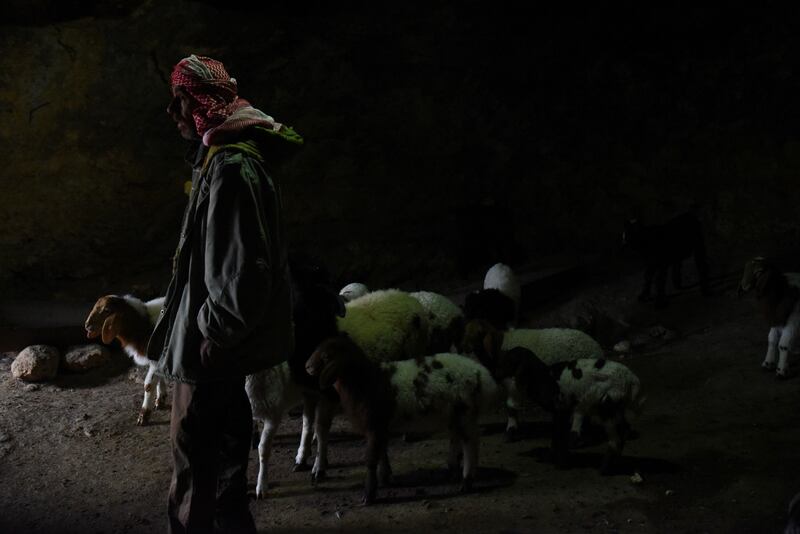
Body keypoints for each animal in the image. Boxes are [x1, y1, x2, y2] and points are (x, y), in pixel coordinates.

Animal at [84, 294, 166, 428]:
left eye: (107, 310)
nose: (87, 325)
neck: (143, 326)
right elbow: (160, 380)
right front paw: (160, 401)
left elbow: (148, 385)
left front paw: (143, 416)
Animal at [306, 338, 500, 504]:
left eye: (326, 356)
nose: (306, 366)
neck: (367, 382)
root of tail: (484, 375)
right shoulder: (380, 427)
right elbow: (382, 453)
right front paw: (385, 478)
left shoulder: (375, 425)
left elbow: (371, 459)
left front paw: (369, 494)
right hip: (454, 414)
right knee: (456, 438)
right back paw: (452, 471)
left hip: (466, 412)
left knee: (471, 444)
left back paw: (467, 481)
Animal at [460, 320, 604, 442]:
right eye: (465, 330)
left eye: (478, 332)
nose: (463, 348)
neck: (497, 350)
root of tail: (597, 349)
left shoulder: (514, 383)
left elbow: (510, 406)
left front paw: (511, 431)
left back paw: (576, 433)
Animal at [496, 348, 648, 478]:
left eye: (508, 360)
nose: (496, 375)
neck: (543, 377)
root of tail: (632, 382)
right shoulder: (561, 411)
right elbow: (556, 435)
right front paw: (553, 456)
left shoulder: (561, 408)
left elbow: (559, 436)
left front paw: (560, 463)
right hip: (617, 408)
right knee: (624, 430)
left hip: (607, 407)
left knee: (615, 439)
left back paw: (604, 469)